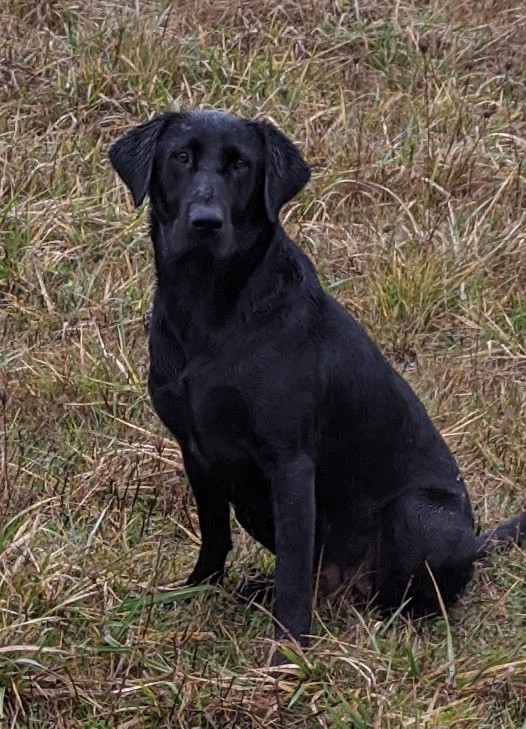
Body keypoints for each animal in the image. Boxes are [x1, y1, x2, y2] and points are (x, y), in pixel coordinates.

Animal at [109, 111, 524, 664]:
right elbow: (214, 535)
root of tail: (476, 542)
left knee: (406, 594)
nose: (205, 221)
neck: (208, 309)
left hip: (418, 515)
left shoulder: (289, 462)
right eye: (180, 157)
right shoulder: (195, 451)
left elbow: (291, 569)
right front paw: (195, 593)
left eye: (241, 165)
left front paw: (285, 655)